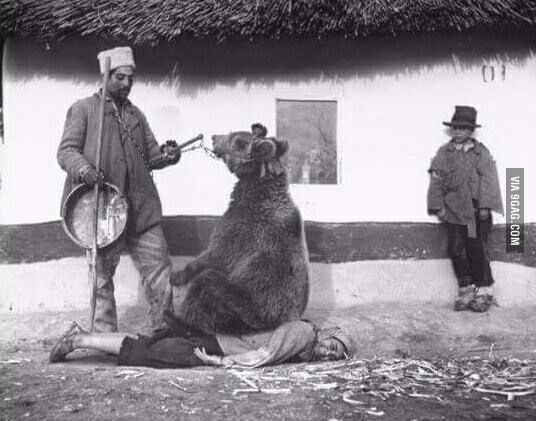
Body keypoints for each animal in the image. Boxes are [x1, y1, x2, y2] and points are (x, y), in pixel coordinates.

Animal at [166, 131, 310, 334]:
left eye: (236, 140)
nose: (214, 137)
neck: (256, 191)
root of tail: (271, 325)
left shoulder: (241, 231)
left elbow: (215, 254)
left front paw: (177, 276)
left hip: (242, 302)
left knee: (205, 286)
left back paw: (180, 321)